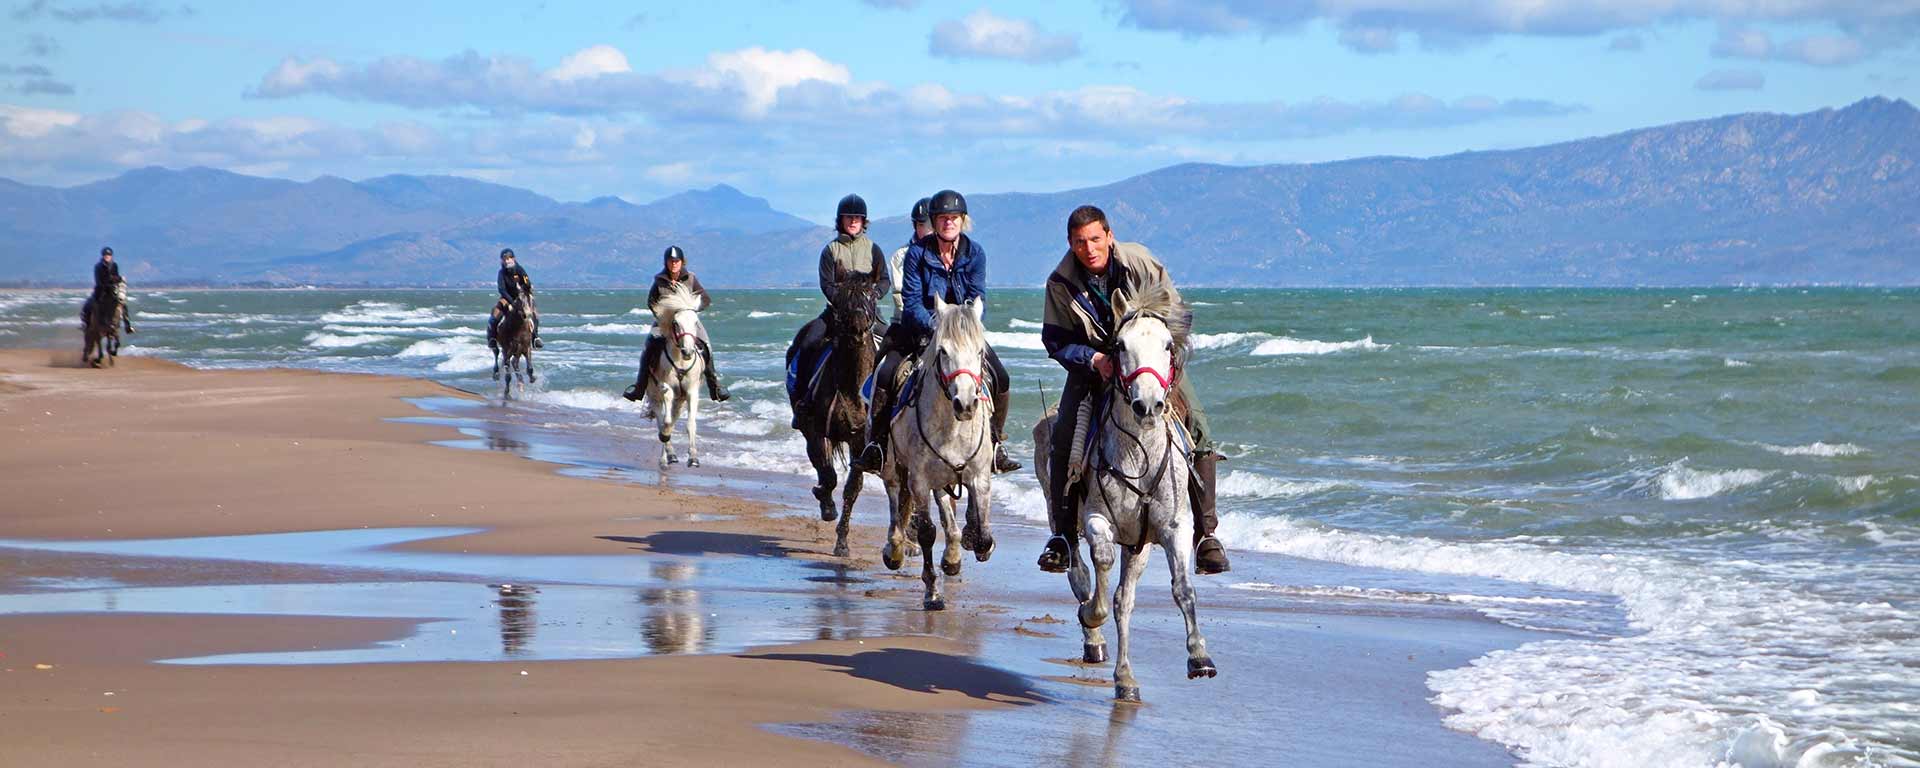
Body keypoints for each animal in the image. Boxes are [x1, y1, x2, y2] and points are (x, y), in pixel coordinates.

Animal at [648, 282, 710, 468]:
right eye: (676, 323)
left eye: (696, 322)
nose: (688, 351)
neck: (681, 362)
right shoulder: (665, 387)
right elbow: (665, 423)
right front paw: (666, 438)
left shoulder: (691, 392)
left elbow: (690, 424)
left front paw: (693, 458)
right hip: (653, 395)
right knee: (661, 421)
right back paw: (666, 456)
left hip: (680, 401)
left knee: (672, 420)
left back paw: (670, 456)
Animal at [879, 295, 998, 610]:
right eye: (943, 351)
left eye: (980, 351)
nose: (966, 404)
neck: (952, 427)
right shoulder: (918, 481)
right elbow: (926, 533)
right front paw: (932, 592)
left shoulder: (979, 477)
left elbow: (983, 534)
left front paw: (971, 546)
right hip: (893, 465)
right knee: (894, 499)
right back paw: (894, 550)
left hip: (943, 477)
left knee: (946, 511)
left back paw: (953, 556)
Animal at [1036, 284, 1213, 702]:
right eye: (1119, 345)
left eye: (1167, 344)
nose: (1147, 405)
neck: (1139, 456)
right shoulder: (1097, 520)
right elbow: (1100, 565)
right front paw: (1090, 614)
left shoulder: (1172, 529)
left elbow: (1182, 589)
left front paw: (1199, 657)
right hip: (1063, 520)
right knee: (1079, 573)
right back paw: (1093, 638)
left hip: (1139, 546)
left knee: (1124, 600)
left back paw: (1125, 679)